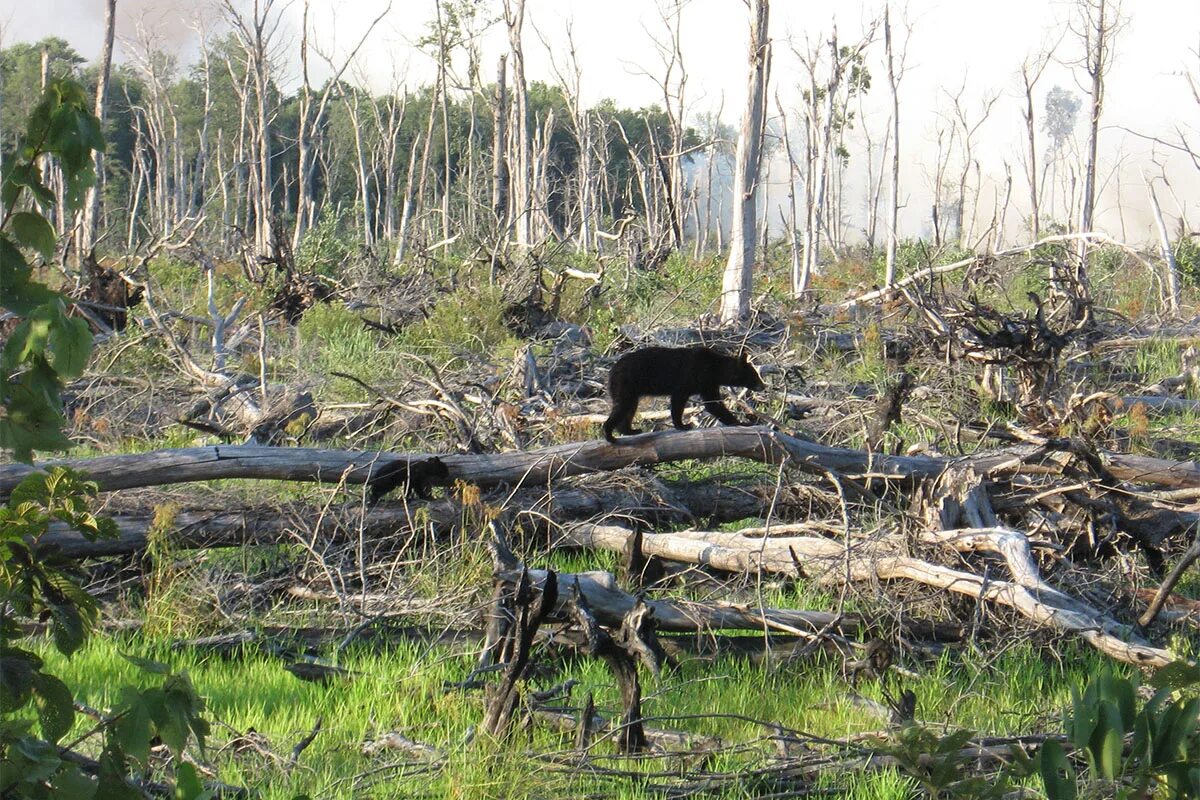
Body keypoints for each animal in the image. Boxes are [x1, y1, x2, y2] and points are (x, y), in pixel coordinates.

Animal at [600, 345, 768, 443]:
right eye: (754, 375)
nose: (764, 385)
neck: (716, 369)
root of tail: (611, 371)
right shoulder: (695, 376)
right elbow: (682, 399)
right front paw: (683, 425)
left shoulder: (708, 383)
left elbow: (711, 402)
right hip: (626, 383)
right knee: (622, 406)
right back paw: (609, 435)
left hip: (631, 389)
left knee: (630, 408)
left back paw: (630, 430)